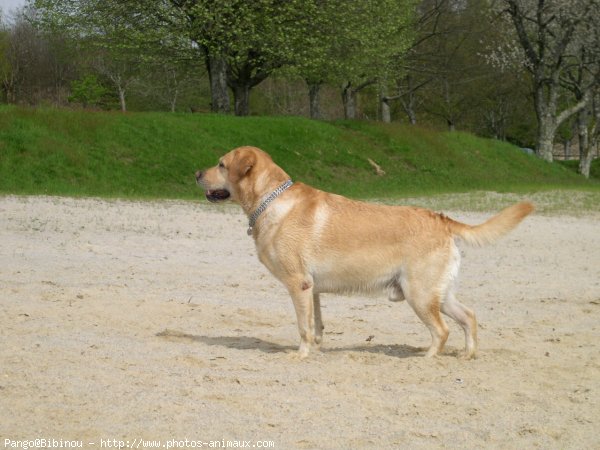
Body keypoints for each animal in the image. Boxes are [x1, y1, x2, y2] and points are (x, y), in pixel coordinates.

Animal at [197, 147, 536, 358]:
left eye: (221, 164)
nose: (198, 173)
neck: (272, 200)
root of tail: (440, 218)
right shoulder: (313, 289)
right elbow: (317, 325)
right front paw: (316, 350)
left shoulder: (298, 284)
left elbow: (303, 327)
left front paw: (301, 355)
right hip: (438, 294)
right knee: (469, 317)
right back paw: (467, 354)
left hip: (419, 295)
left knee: (441, 331)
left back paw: (426, 358)